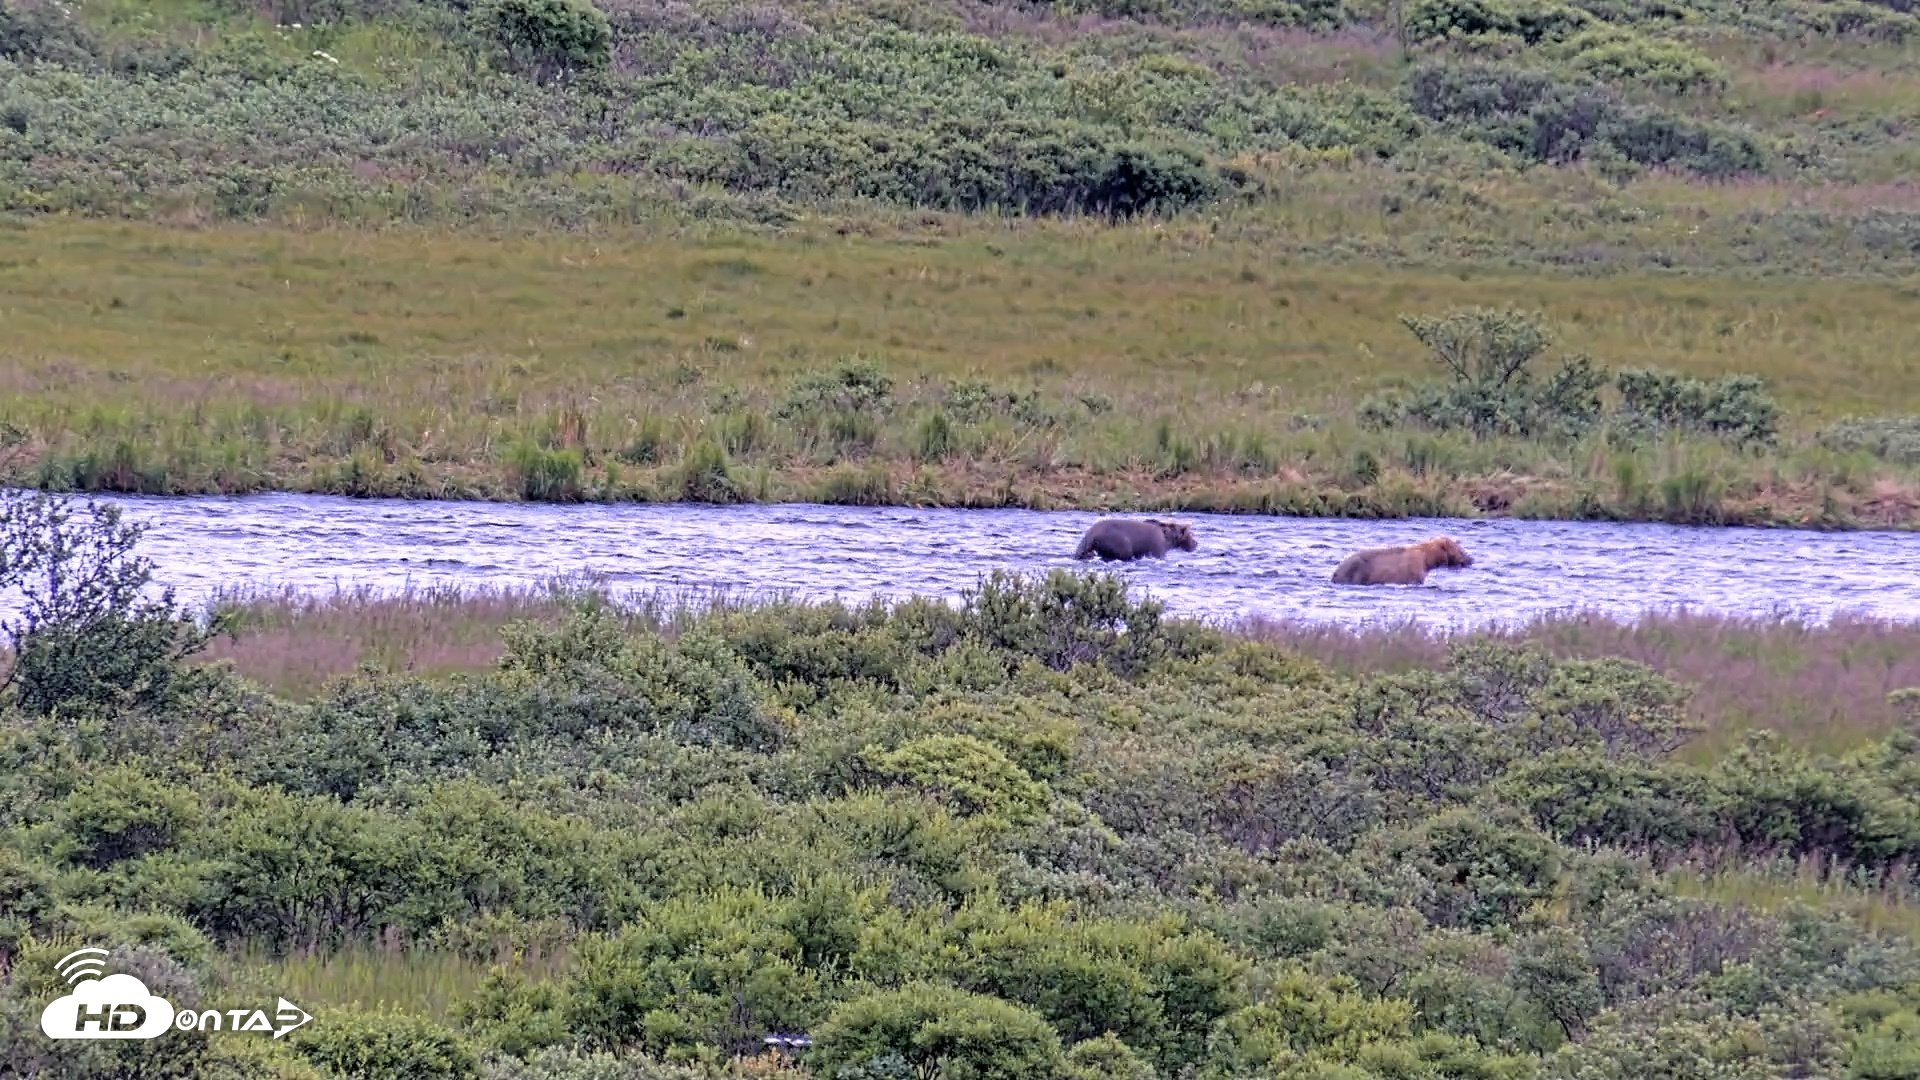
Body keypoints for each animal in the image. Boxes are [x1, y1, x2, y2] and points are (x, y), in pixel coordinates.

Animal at [1330, 536, 1473, 585]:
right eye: (1460, 550)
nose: (1471, 559)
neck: (1427, 559)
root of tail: (1335, 572)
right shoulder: (1413, 570)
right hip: (1357, 571)